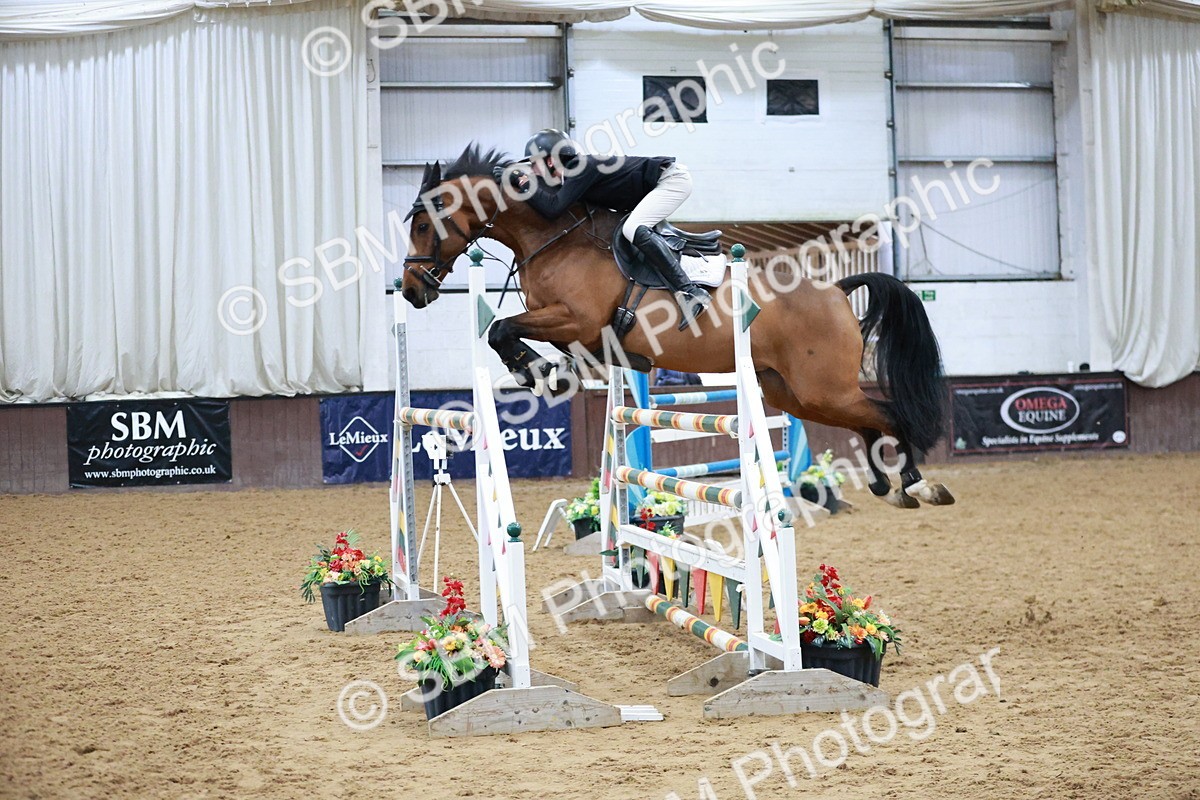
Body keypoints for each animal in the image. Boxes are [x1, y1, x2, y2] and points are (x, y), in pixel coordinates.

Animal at [398, 145, 954, 508]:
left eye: (423, 224)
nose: (411, 291)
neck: (553, 237)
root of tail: (836, 290)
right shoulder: (579, 333)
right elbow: (510, 334)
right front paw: (544, 373)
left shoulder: (576, 318)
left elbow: (502, 330)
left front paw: (536, 372)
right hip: (797, 394)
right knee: (868, 420)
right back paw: (888, 486)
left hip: (823, 388)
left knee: (889, 414)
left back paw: (917, 484)